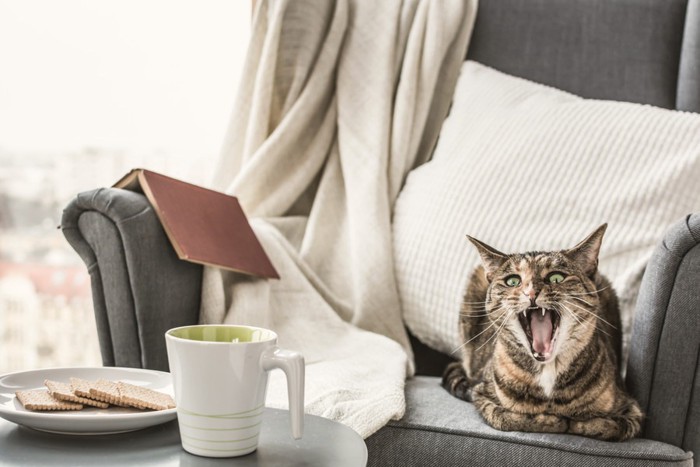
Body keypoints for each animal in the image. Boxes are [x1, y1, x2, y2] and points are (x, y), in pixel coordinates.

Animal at [442, 227, 644, 442]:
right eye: (513, 281)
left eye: (556, 278)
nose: (531, 292)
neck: (548, 370)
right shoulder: (482, 394)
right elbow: (507, 417)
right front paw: (552, 420)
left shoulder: (632, 411)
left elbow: (605, 426)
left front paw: (577, 422)